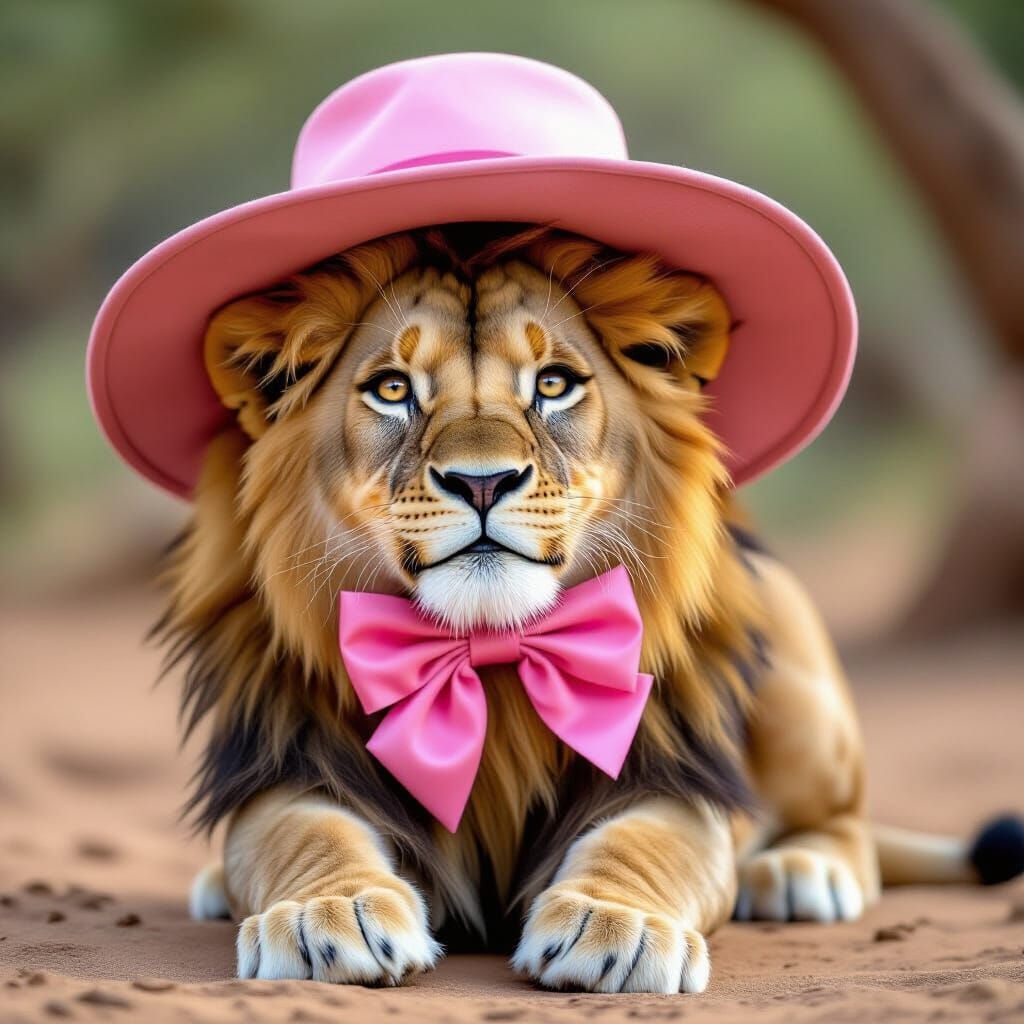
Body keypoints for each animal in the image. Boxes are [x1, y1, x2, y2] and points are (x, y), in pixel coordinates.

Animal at [160, 222, 1022, 993]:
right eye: (393, 389)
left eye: (552, 383)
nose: (482, 482)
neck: (489, 659)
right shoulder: (290, 758)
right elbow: (299, 832)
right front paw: (329, 913)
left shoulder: (675, 771)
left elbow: (647, 844)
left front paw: (616, 927)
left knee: (850, 830)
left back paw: (798, 870)